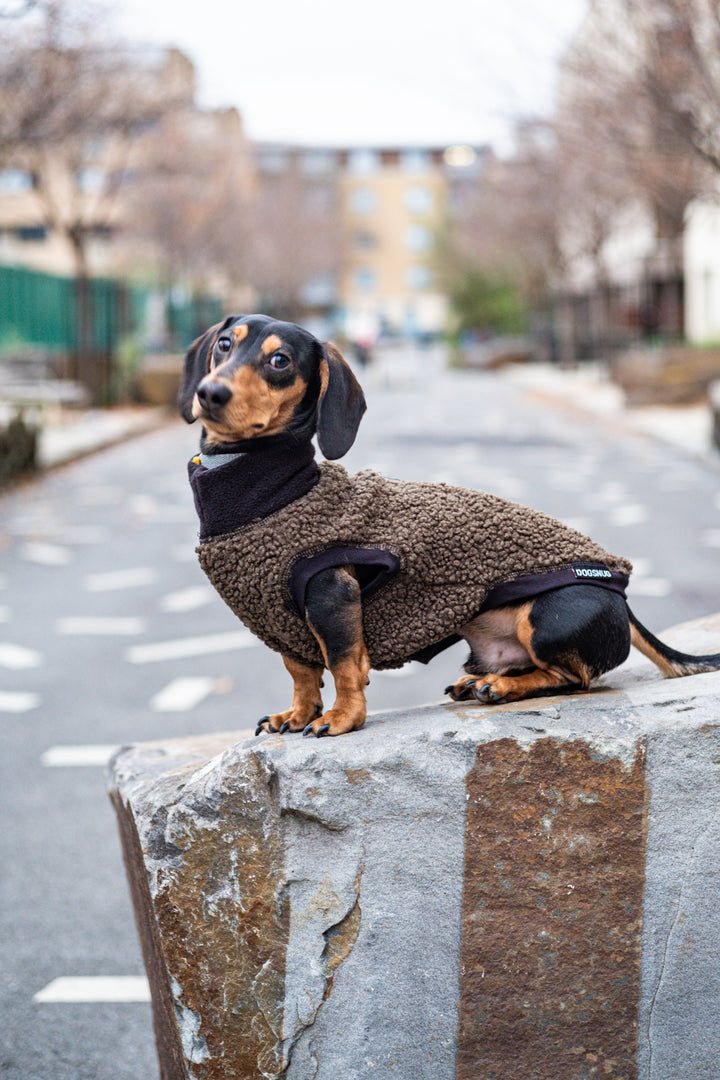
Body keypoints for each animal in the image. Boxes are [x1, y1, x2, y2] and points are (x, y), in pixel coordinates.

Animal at [179, 313, 720, 734]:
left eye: (280, 361)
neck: (271, 492)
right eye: (225, 344)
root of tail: (622, 601)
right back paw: (480, 681)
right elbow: (300, 671)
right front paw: (296, 714)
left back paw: (500, 687)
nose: (210, 392)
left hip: (548, 616)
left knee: (576, 679)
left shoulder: (331, 593)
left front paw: (342, 717)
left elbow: (343, 663)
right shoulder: (280, 618)